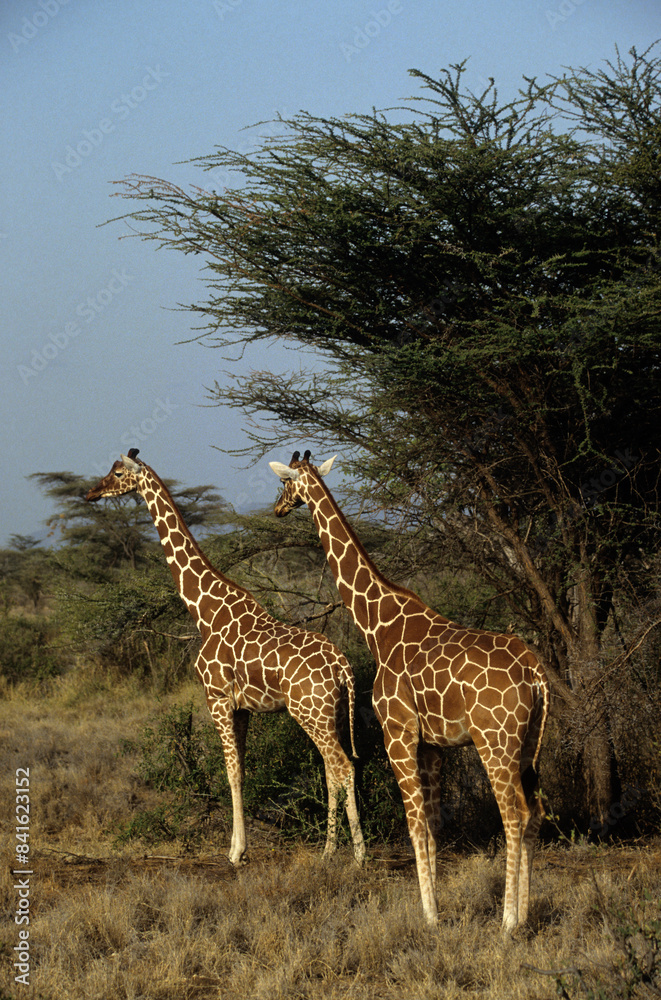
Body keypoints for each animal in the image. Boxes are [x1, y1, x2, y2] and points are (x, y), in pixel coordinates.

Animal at [85, 450, 365, 866]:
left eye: (117, 473)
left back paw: (355, 855)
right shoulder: (243, 707)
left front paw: (235, 852)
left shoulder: (216, 698)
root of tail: (342, 667)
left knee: (342, 767)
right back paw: (337, 850)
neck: (205, 610)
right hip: (330, 713)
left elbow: (230, 772)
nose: (90, 492)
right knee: (336, 767)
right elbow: (243, 771)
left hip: (310, 712)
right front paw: (238, 845)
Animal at [269, 452, 549, 932]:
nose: (277, 509)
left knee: (515, 814)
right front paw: (436, 903)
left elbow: (414, 822)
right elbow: (433, 825)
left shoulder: (397, 735)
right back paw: (525, 915)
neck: (378, 627)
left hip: (496, 742)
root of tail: (535, 673)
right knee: (532, 813)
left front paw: (429, 915)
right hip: (529, 743)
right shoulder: (433, 745)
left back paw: (508, 922)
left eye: (286, 483)